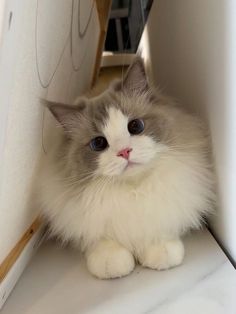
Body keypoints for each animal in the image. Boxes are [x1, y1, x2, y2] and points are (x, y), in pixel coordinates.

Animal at [37, 57, 216, 278]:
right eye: (99, 143)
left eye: (135, 126)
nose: (124, 152)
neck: (133, 191)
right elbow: (103, 242)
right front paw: (112, 264)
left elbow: (160, 230)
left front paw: (161, 253)